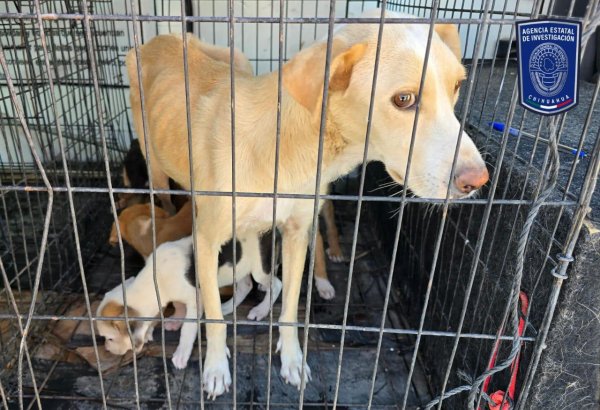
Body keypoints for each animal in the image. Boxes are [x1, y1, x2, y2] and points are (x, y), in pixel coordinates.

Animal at [126, 10, 488, 398]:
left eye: (457, 86)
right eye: (404, 99)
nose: (478, 180)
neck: (288, 145)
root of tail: (160, 39)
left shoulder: (296, 233)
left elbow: (289, 308)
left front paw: (292, 359)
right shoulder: (207, 241)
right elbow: (214, 317)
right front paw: (216, 368)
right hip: (156, 166)